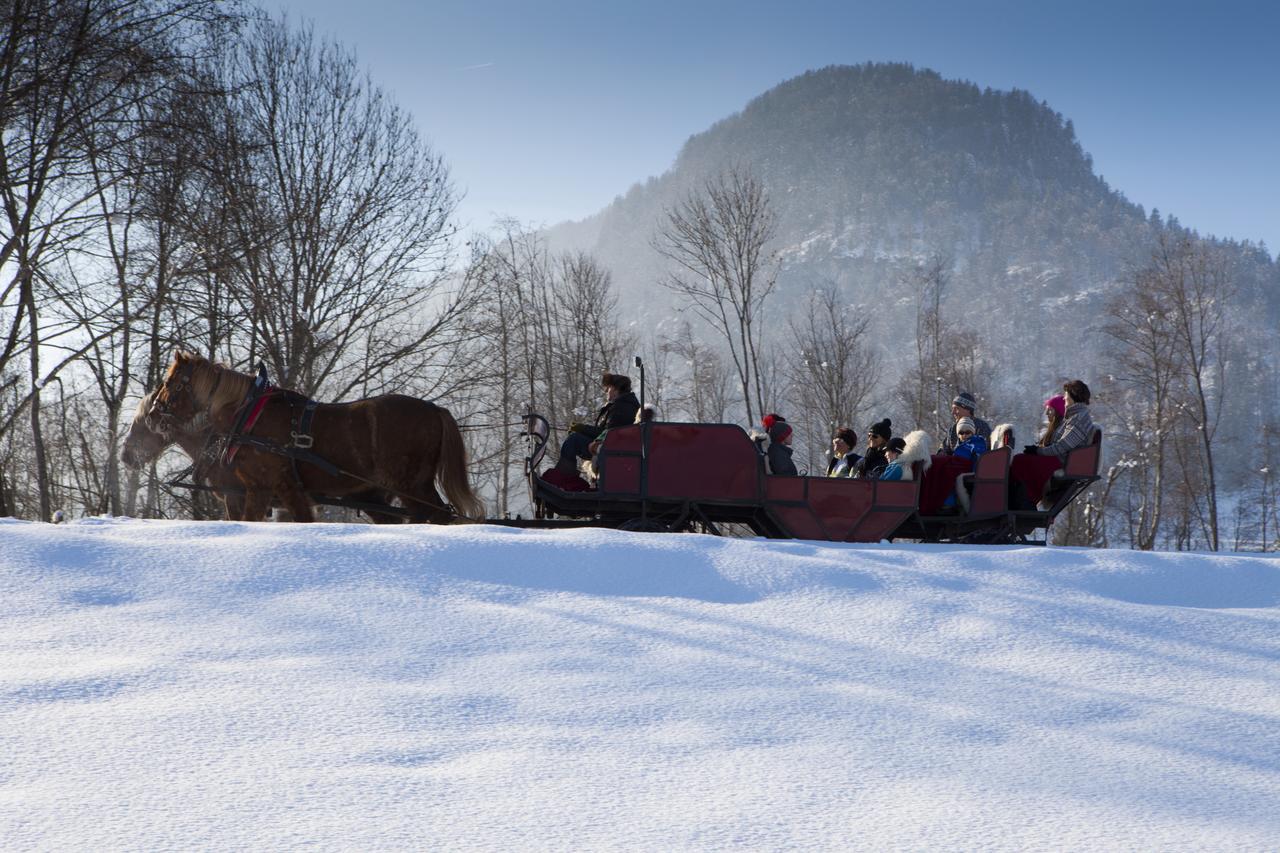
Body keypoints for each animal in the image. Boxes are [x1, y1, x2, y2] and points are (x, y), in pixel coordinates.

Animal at [138, 350, 481, 522]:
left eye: (170, 383)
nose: (154, 415)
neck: (250, 416)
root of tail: (433, 408)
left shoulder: (265, 488)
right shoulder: (280, 492)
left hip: (412, 485)